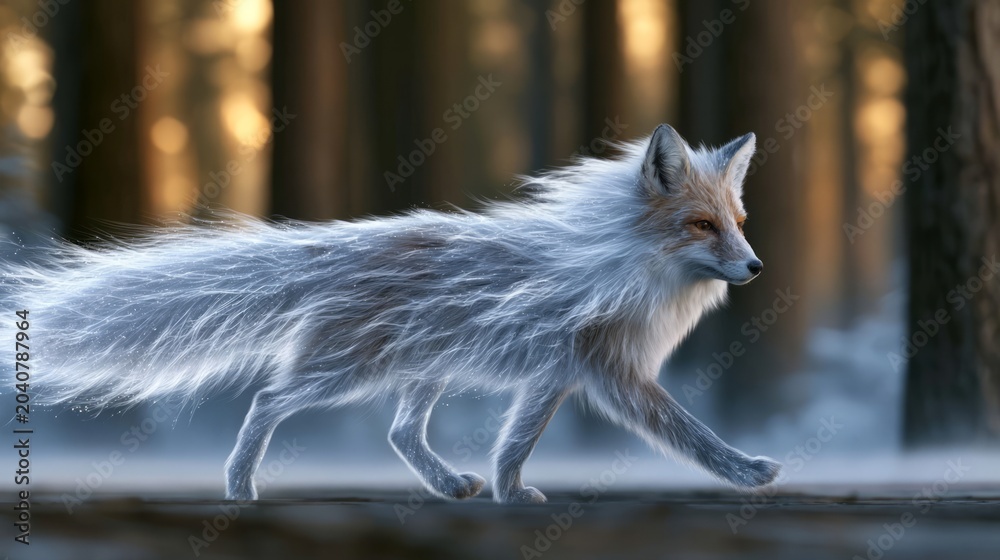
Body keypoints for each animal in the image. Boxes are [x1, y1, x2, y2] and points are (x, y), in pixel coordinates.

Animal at [2, 124, 779, 503]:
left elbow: (513, 446)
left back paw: (448, 486)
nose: (756, 268)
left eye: (740, 223)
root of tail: (337, 246)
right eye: (702, 226)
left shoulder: (554, 376)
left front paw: (507, 494)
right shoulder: (613, 376)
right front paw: (747, 473)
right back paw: (239, 486)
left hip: (423, 372)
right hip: (345, 372)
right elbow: (692, 435)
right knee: (268, 400)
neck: (617, 263)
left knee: (401, 434)